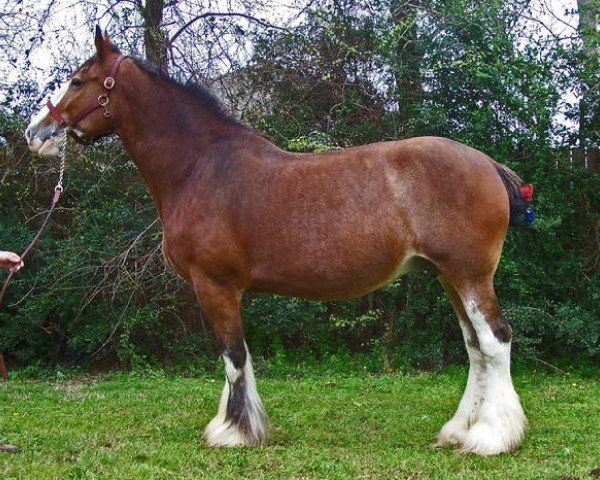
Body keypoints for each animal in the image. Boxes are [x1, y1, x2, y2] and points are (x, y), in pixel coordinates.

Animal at [24, 28, 528, 456]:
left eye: (78, 79)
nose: (34, 133)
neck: (199, 166)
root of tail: (487, 163)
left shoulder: (214, 285)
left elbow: (233, 357)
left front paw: (233, 432)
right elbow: (238, 358)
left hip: (469, 275)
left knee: (495, 341)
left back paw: (491, 438)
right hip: (449, 277)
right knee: (475, 347)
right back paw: (459, 430)